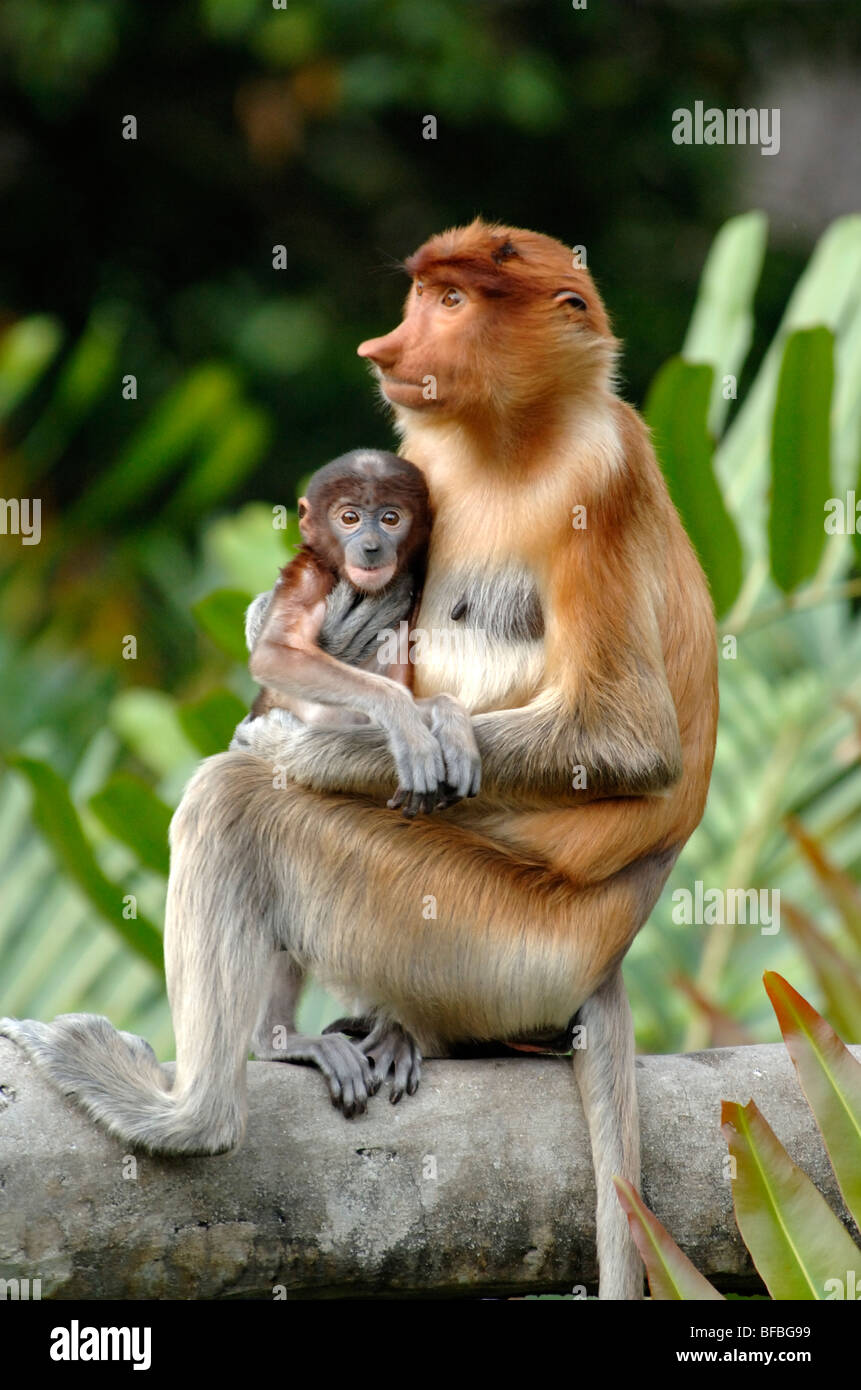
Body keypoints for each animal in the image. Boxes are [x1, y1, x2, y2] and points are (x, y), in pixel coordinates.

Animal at [0, 221, 718, 1300]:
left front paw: (321, 741)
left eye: (455, 302)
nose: (385, 350)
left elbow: (628, 741)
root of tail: (602, 957)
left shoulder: (603, 476)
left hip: (487, 937)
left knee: (233, 805)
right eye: (426, 295)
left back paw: (197, 1110)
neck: (514, 442)